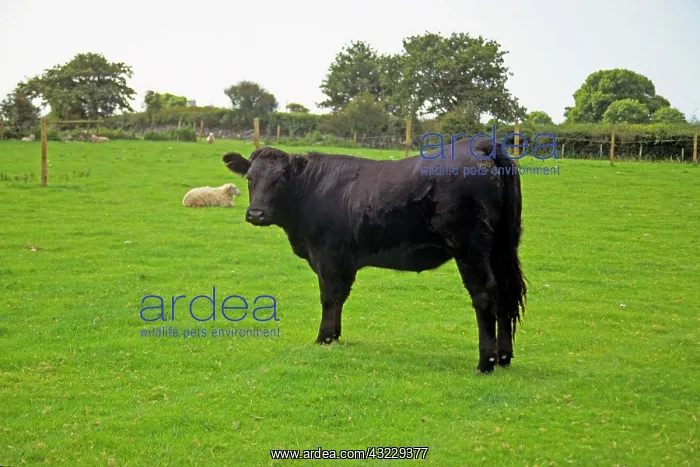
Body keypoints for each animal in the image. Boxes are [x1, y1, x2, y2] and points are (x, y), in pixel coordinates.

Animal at [221, 137, 527, 373]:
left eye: (281, 179)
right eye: (250, 179)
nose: (256, 213)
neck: (311, 190)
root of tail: (483, 144)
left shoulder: (327, 256)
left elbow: (329, 297)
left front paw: (323, 338)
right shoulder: (344, 261)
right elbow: (340, 297)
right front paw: (334, 336)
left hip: (470, 248)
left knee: (485, 294)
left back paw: (485, 363)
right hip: (502, 248)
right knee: (505, 295)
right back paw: (503, 357)